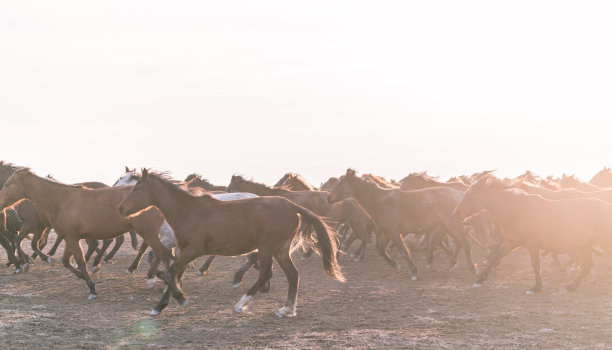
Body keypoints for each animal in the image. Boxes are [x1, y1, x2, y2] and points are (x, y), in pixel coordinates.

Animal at [0, 168, 172, 300]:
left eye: (8, 184)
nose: (0, 202)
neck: (61, 200)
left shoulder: (69, 237)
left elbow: (80, 261)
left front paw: (92, 288)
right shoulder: (69, 237)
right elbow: (66, 261)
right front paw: (81, 275)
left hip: (149, 232)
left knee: (161, 253)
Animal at [116, 170, 344, 318]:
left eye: (137, 188)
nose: (120, 208)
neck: (188, 210)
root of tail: (292, 205)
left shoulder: (193, 250)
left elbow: (172, 271)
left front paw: (176, 299)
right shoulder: (182, 249)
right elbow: (175, 273)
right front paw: (166, 301)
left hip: (267, 247)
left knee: (266, 273)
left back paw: (241, 303)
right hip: (280, 249)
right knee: (293, 275)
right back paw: (286, 309)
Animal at [328, 168, 476, 278]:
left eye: (339, 184)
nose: (329, 197)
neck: (380, 202)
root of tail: (460, 195)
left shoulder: (394, 232)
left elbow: (403, 251)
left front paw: (414, 271)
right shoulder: (386, 232)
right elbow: (381, 250)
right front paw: (396, 265)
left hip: (452, 225)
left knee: (465, 243)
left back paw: (472, 268)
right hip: (447, 226)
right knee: (458, 242)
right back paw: (453, 264)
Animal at [454, 175, 612, 292]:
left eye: (472, 194)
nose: (456, 214)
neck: (517, 210)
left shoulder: (532, 244)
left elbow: (536, 265)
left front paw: (536, 288)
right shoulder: (511, 242)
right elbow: (494, 257)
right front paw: (479, 280)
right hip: (585, 245)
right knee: (587, 266)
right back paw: (570, 287)